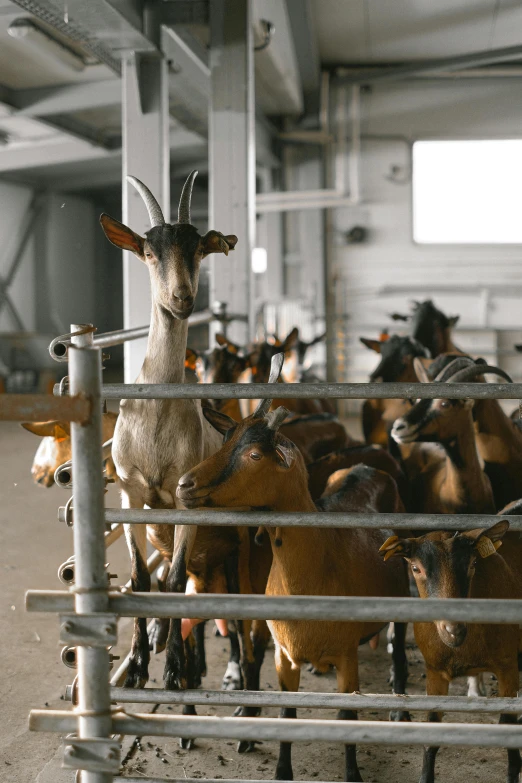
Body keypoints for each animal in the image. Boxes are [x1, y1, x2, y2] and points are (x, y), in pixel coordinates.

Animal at [98, 173, 237, 692]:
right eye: (148, 251)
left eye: (198, 248)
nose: (181, 299)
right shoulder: (130, 495)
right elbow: (140, 580)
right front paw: (138, 665)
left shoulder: (183, 501)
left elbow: (175, 581)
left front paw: (174, 669)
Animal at [177, 356, 408, 783]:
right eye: (226, 438)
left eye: (254, 455)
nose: (185, 484)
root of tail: (368, 467)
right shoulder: (284, 656)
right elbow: (287, 713)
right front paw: (282, 770)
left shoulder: (346, 657)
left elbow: (347, 716)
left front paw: (353, 773)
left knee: (399, 640)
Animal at [378, 520, 520, 783]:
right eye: (415, 568)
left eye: (473, 564)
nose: (453, 629)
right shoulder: (434, 671)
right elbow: (432, 735)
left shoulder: (508, 668)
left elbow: (510, 736)